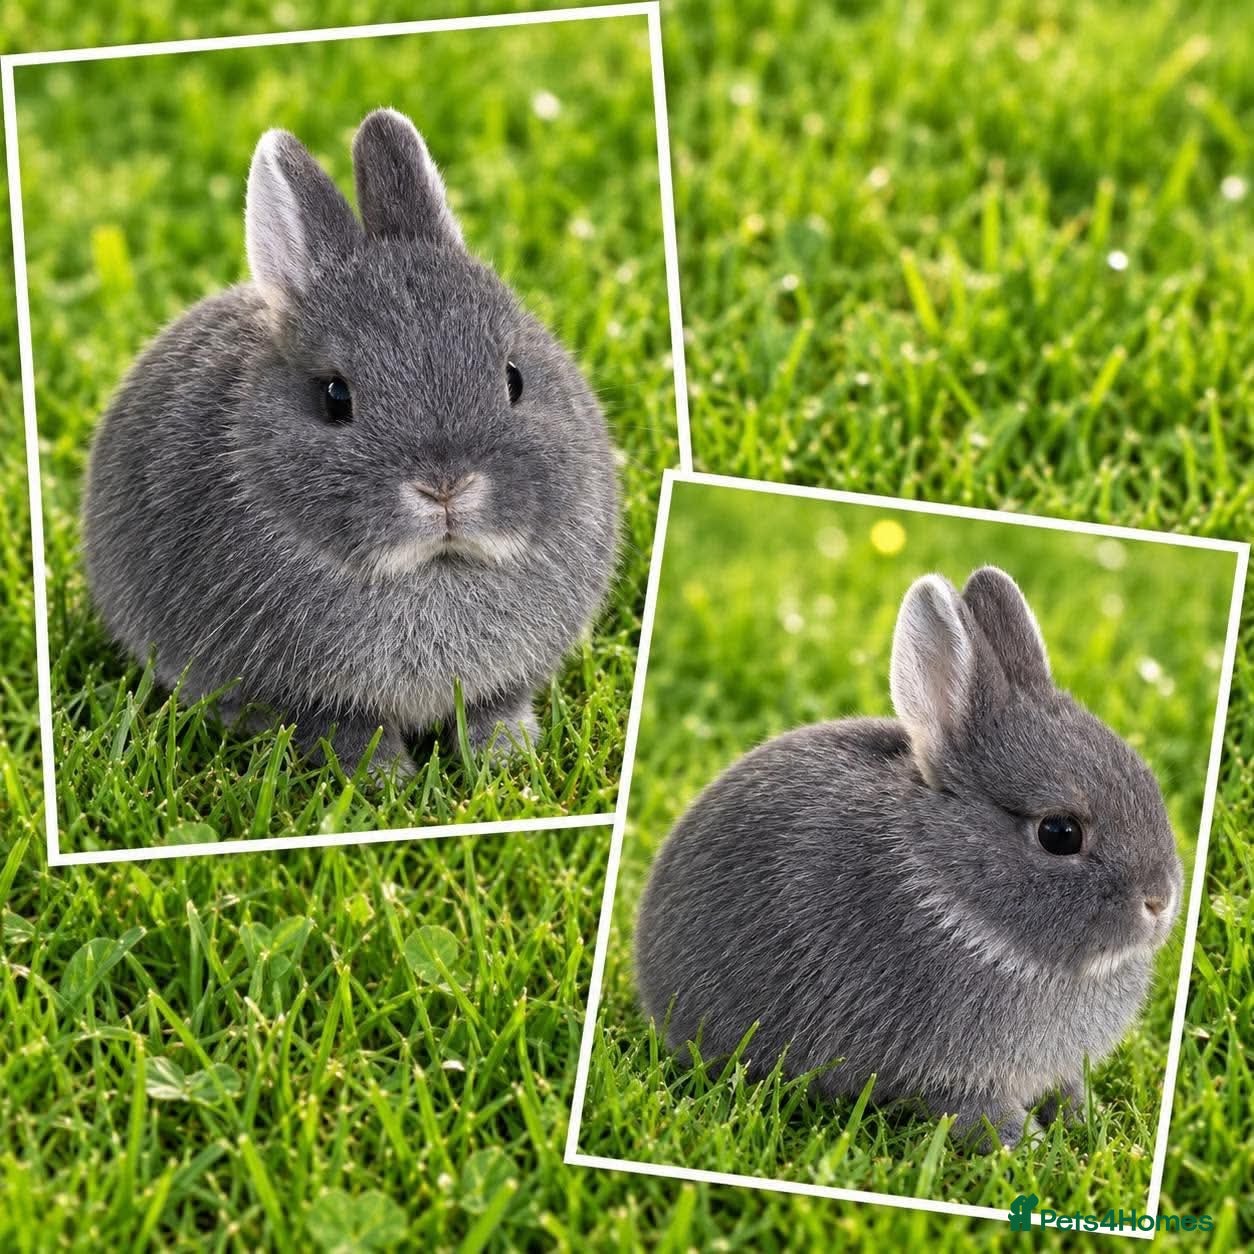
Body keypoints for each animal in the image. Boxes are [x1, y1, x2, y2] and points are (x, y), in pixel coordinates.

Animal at [82, 109, 619, 776]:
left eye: (514, 378)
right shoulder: (314, 700)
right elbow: (347, 731)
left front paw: (505, 759)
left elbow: (496, 707)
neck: (435, 568)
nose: (446, 487)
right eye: (336, 397)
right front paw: (385, 779)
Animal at [635, 566, 1183, 1148]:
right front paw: (1027, 1145)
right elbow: (976, 1111)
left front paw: (1088, 1120)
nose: (1160, 902)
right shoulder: (955, 1078)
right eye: (1059, 833)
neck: (956, 900)